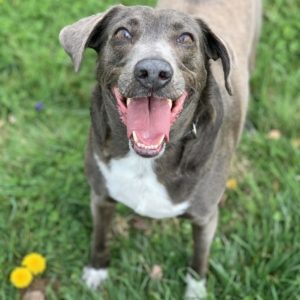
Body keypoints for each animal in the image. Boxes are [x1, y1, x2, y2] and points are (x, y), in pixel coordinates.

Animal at [59, 0, 262, 298]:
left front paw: (195, 291)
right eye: (122, 33)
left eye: (186, 38)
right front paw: (96, 272)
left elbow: (198, 260)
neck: (147, 159)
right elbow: (100, 238)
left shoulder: (205, 218)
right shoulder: (100, 196)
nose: (153, 72)